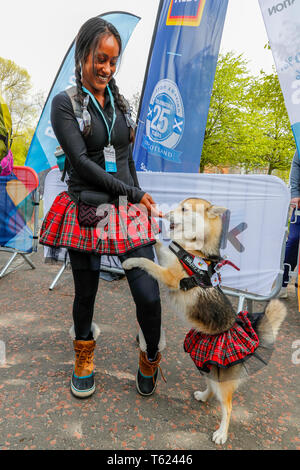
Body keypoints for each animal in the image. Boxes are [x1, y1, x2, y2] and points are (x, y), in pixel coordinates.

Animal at [122, 197, 288, 444]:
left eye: (184, 209)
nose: (164, 214)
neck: (194, 248)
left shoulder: (170, 276)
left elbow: (147, 261)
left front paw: (131, 261)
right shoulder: (168, 256)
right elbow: (159, 244)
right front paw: (147, 229)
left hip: (223, 382)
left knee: (227, 407)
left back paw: (221, 434)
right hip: (207, 365)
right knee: (212, 386)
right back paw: (203, 395)